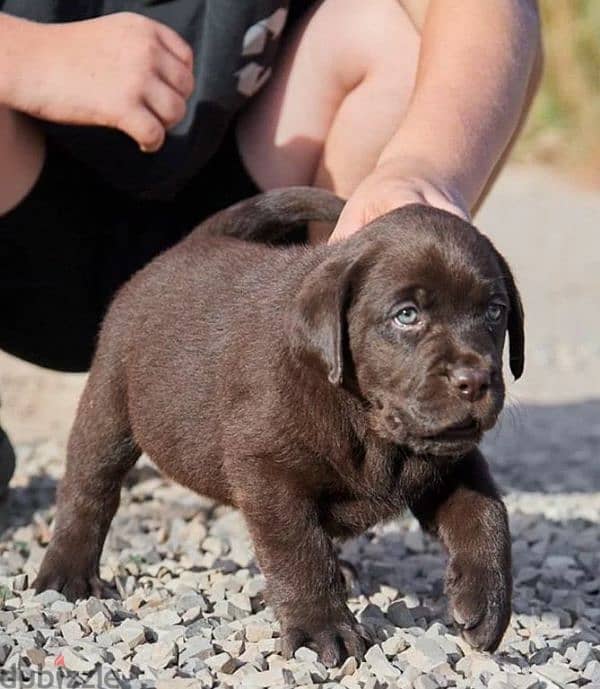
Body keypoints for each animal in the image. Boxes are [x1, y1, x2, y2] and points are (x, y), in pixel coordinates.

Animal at [35, 187, 524, 660]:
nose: (474, 380)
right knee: (89, 488)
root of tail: (192, 245)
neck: (372, 430)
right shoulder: (266, 469)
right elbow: (299, 551)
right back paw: (66, 573)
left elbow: (487, 514)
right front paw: (323, 628)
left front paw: (486, 601)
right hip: (109, 401)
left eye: (495, 312)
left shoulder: (449, 459)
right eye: (407, 314)